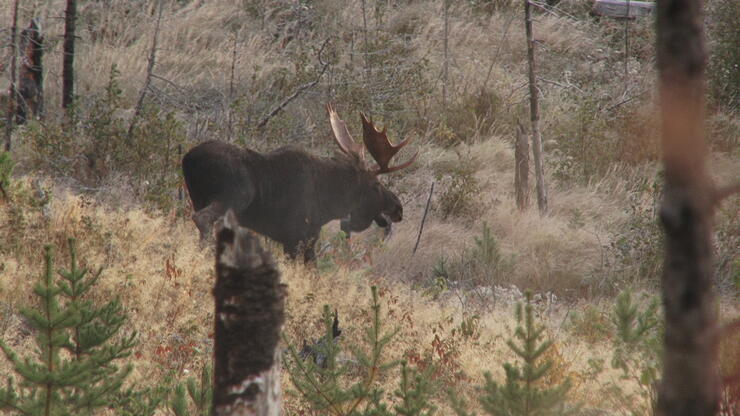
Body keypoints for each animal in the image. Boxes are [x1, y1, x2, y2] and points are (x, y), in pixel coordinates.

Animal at [181, 104, 418, 262]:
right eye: (376, 185)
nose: (398, 208)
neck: (330, 203)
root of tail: (188, 159)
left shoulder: (293, 240)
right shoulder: (299, 237)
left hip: (198, 197)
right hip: (235, 197)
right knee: (202, 218)